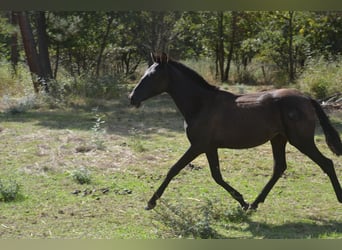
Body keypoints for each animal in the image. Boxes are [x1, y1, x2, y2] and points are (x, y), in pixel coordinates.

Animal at [129, 52, 342, 211]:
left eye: (152, 76)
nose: (132, 98)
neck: (201, 104)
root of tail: (307, 98)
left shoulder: (198, 145)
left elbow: (174, 169)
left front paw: (151, 202)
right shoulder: (209, 147)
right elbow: (216, 176)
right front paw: (243, 201)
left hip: (301, 140)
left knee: (326, 163)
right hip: (279, 139)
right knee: (279, 167)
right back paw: (254, 204)